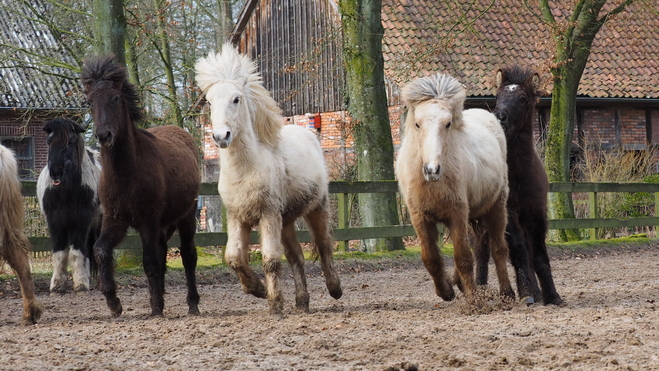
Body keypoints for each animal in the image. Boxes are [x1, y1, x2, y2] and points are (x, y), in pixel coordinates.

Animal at [37, 117, 102, 294]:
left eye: (71, 141)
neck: (66, 192)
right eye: (49, 141)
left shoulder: (81, 221)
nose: (56, 172)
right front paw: (57, 285)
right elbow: (60, 254)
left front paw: (80, 284)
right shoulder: (55, 222)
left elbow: (77, 252)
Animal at [195, 43, 342, 316]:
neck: (246, 169)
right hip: (286, 221)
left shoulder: (268, 215)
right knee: (297, 257)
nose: (221, 136)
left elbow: (271, 260)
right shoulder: (237, 217)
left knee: (324, 245)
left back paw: (335, 289)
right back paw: (302, 301)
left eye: (236, 99)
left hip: (317, 208)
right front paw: (257, 289)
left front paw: (274, 304)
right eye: (209, 101)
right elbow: (233, 257)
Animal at [398, 73, 516, 306]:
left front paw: (473, 300)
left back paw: (507, 293)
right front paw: (445, 291)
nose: (431, 169)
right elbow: (431, 258)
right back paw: (457, 283)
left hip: (496, 207)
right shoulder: (420, 217)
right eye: (417, 124)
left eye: (448, 124)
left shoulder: (457, 213)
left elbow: (463, 257)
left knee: (498, 248)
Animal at [476, 66, 564, 306]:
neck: (519, 178)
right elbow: (518, 251)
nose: (500, 118)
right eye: (497, 97)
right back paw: (482, 292)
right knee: (482, 252)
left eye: (523, 98)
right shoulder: (509, 215)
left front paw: (552, 295)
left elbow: (539, 256)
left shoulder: (536, 214)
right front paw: (526, 293)